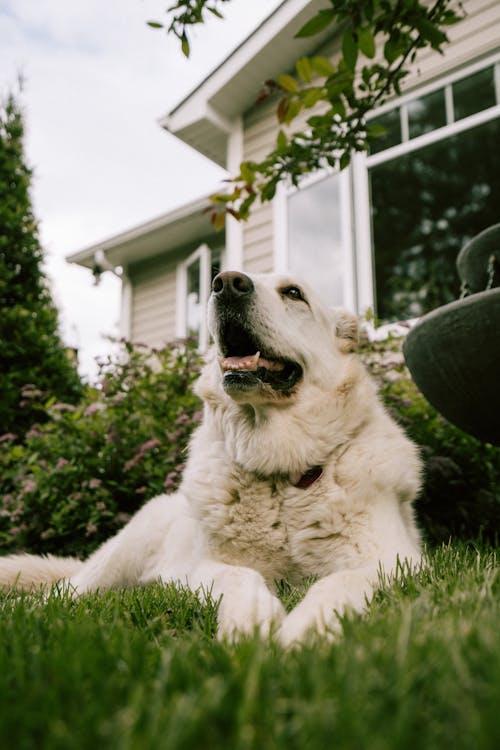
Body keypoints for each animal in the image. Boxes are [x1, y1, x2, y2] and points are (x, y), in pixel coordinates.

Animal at [0, 274, 422, 648]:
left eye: (293, 293)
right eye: (221, 282)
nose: (226, 283)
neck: (280, 476)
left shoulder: (395, 562)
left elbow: (338, 581)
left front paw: (307, 629)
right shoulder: (205, 566)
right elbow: (240, 577)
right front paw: (250, 622)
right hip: (112, 563)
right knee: (62, 593)